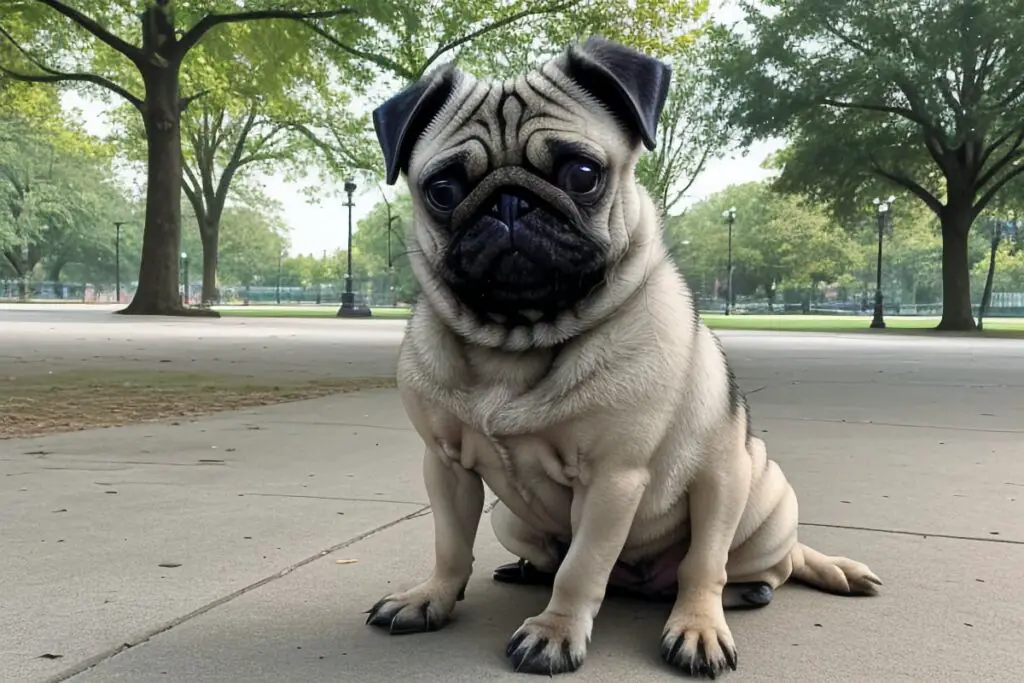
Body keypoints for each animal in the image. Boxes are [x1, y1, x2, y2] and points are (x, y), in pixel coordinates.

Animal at [362, 34, 880, 675]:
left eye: (583, 174)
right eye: (443, 191)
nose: (509, 204)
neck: (518, 340)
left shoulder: (613, 477)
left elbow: (584, 566)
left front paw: (555, 632)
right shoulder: (446, 466)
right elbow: (451, 546)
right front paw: (430, 597)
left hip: (743, 487)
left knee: (719, 568)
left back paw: (708, 617)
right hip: (509, 516)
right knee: (562, 559)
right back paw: (528, 569)